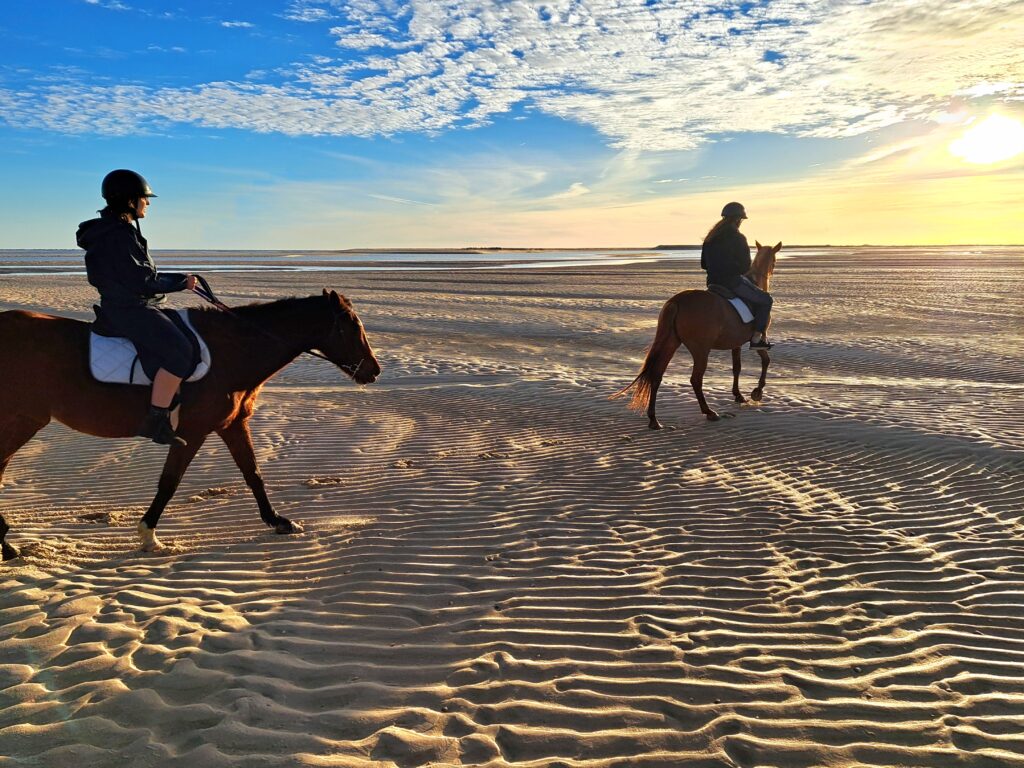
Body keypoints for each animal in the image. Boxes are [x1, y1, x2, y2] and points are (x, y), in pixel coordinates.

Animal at [0, 290, 380, 561]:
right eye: (351, 325)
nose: (374, 371)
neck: (232, 351)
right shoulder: (191, 432)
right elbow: (170, 482)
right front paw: (148, 535)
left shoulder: (232, 425)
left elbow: (253, 473)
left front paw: (278, 521)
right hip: (23, 421)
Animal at [610, 243, 778, 430]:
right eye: (774, 260)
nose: (772, 270)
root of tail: (677, 301)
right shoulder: (757, 339)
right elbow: (766, 361)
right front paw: (757, 392)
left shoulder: (736, 343)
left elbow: (737, 368)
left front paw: (738, 395)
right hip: (701, 350)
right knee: (695, 379)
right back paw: (709, 412)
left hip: (671, 343)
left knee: (657, 374)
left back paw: (654, 420)